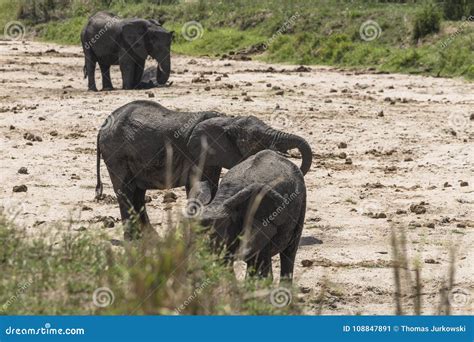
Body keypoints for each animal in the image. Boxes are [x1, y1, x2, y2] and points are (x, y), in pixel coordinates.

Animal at [95, 100, 312, 240]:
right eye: (257, 140)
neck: (228, 120)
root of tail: (103, 124)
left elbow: (211, 186)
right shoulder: (195, 154)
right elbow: (197, 186)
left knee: (138, 193)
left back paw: (149, 237)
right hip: (115, 153)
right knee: (126, 190)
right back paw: (134, 240)